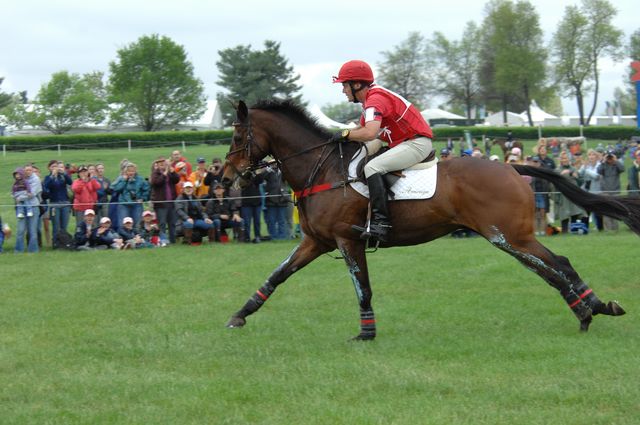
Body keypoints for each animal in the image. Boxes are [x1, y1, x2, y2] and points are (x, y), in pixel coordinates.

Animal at [222, 97, 632, 340]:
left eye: (239, 136)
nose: (226, 179)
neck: (320, 169)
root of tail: (510, 167)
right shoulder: (316, 241)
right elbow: (276, 276)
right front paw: (239, 315)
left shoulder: (348, 241)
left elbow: (363, 288)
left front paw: (366, 333)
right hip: (509, 236)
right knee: (551, 266)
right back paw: (589, 309)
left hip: (506, 235)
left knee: (554, 264)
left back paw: (590, 308)